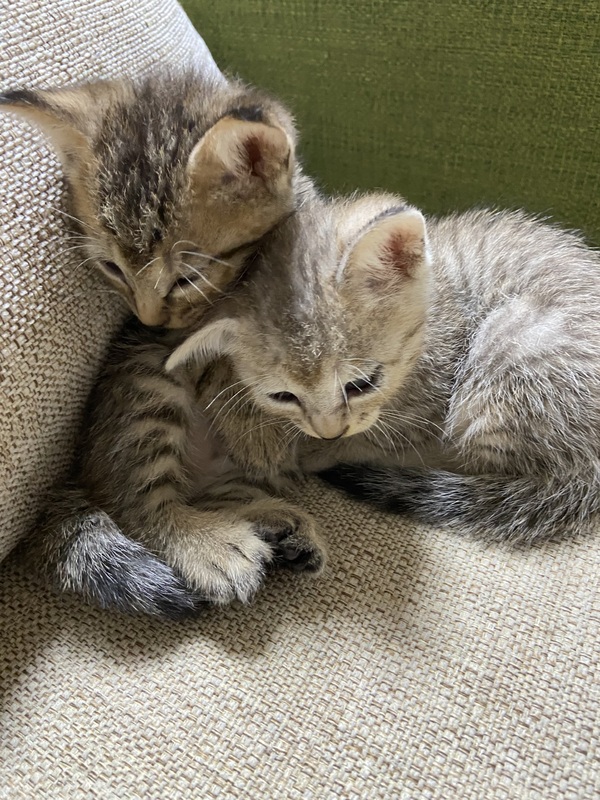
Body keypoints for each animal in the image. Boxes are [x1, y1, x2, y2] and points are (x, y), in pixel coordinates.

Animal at [171, 192, 600, 548]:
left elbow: (392, 436)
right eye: (283, 396)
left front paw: (314, 450)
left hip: (506, 348)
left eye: (363, 383)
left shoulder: (433, 400)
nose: (328, 432)